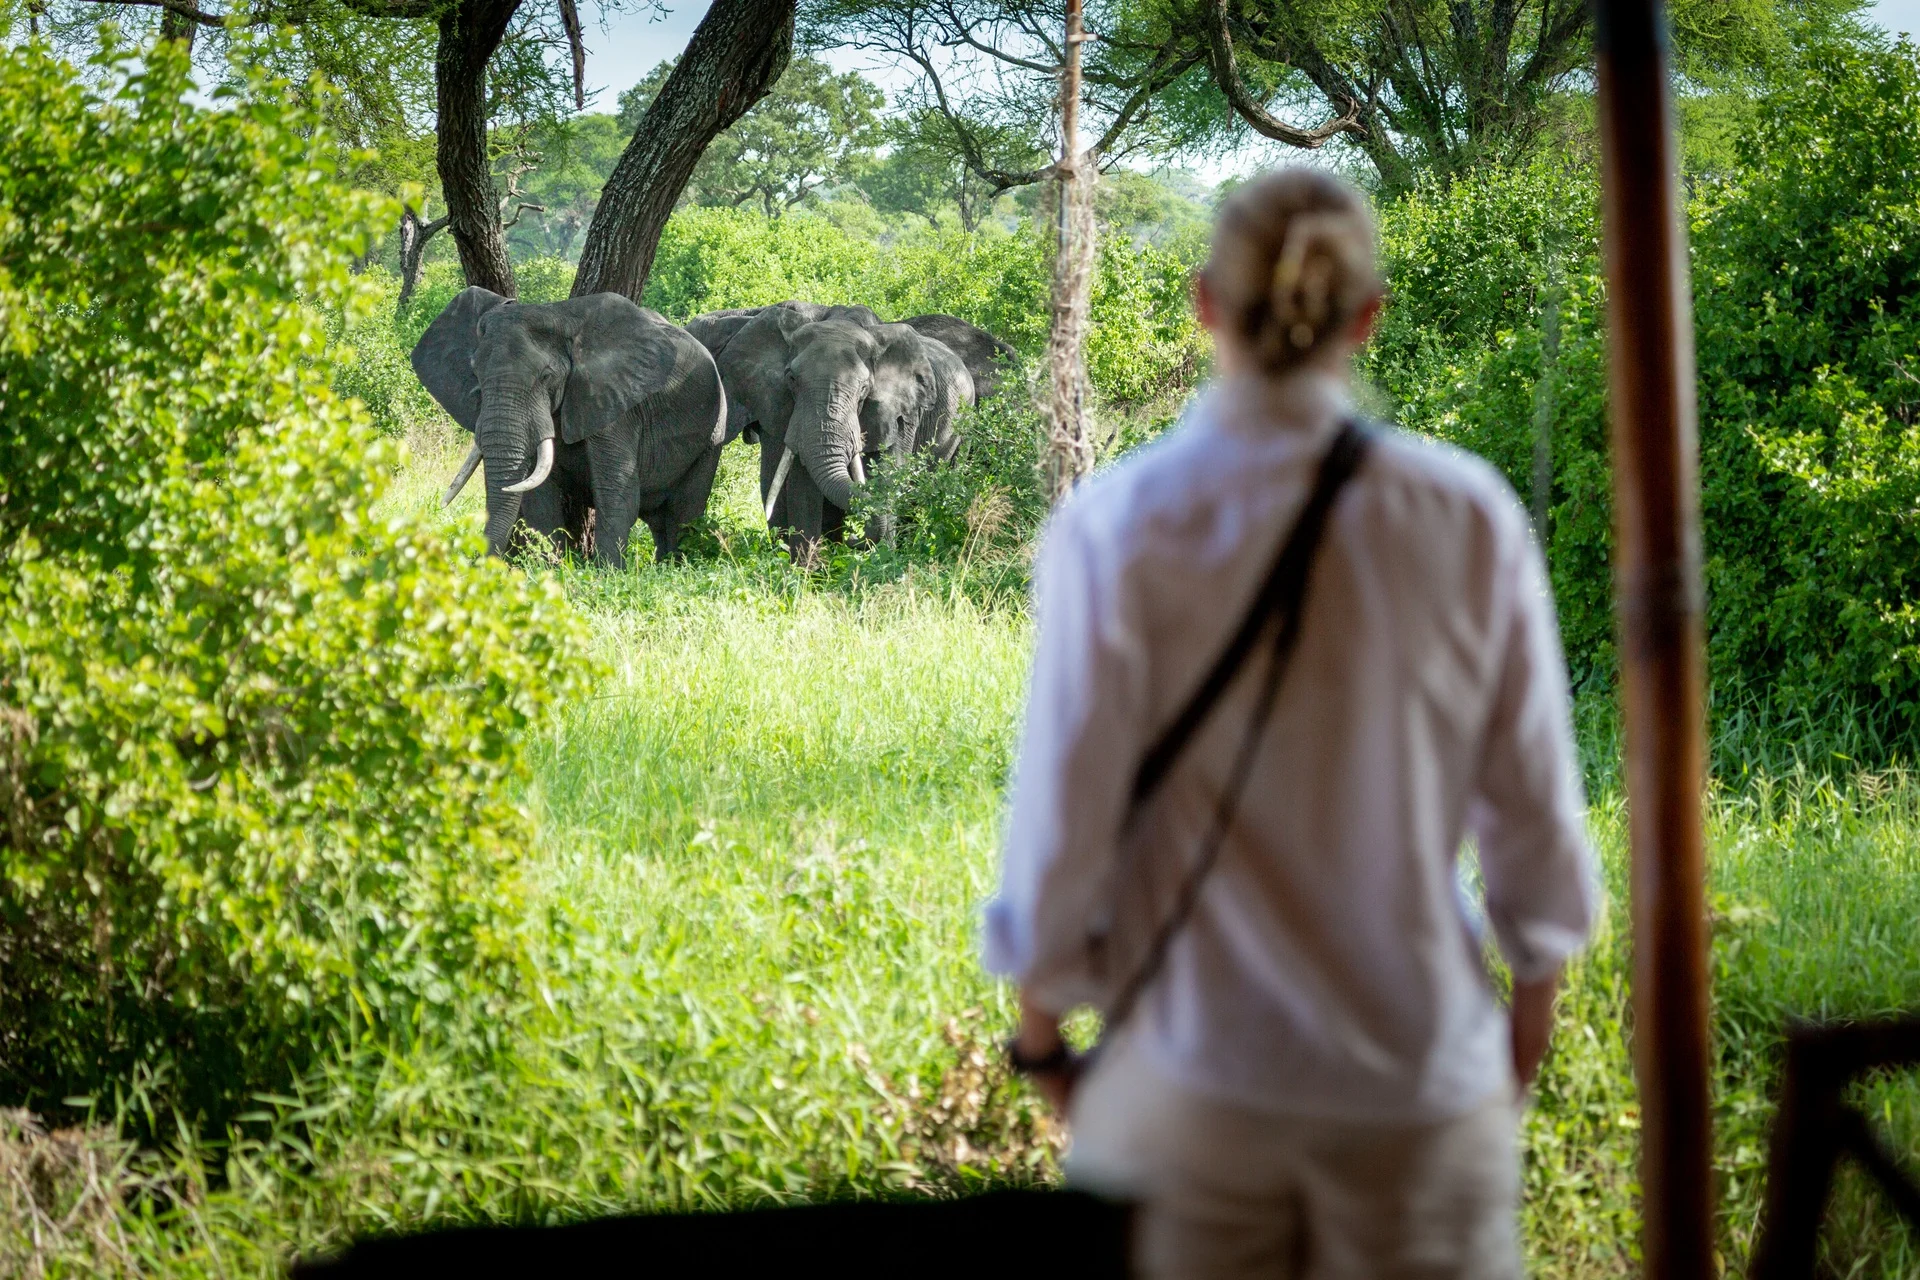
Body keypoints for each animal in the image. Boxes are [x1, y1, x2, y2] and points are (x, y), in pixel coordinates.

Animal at [411, 287, 728, 567]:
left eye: (546, 376)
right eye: (475, 373)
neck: (557, 316)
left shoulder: (614, 400)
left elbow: (617, 490)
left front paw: (609, 575)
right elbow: (539, 499)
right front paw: (551, 571)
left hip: (713, 433)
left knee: (684, 513)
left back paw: (678, 564)